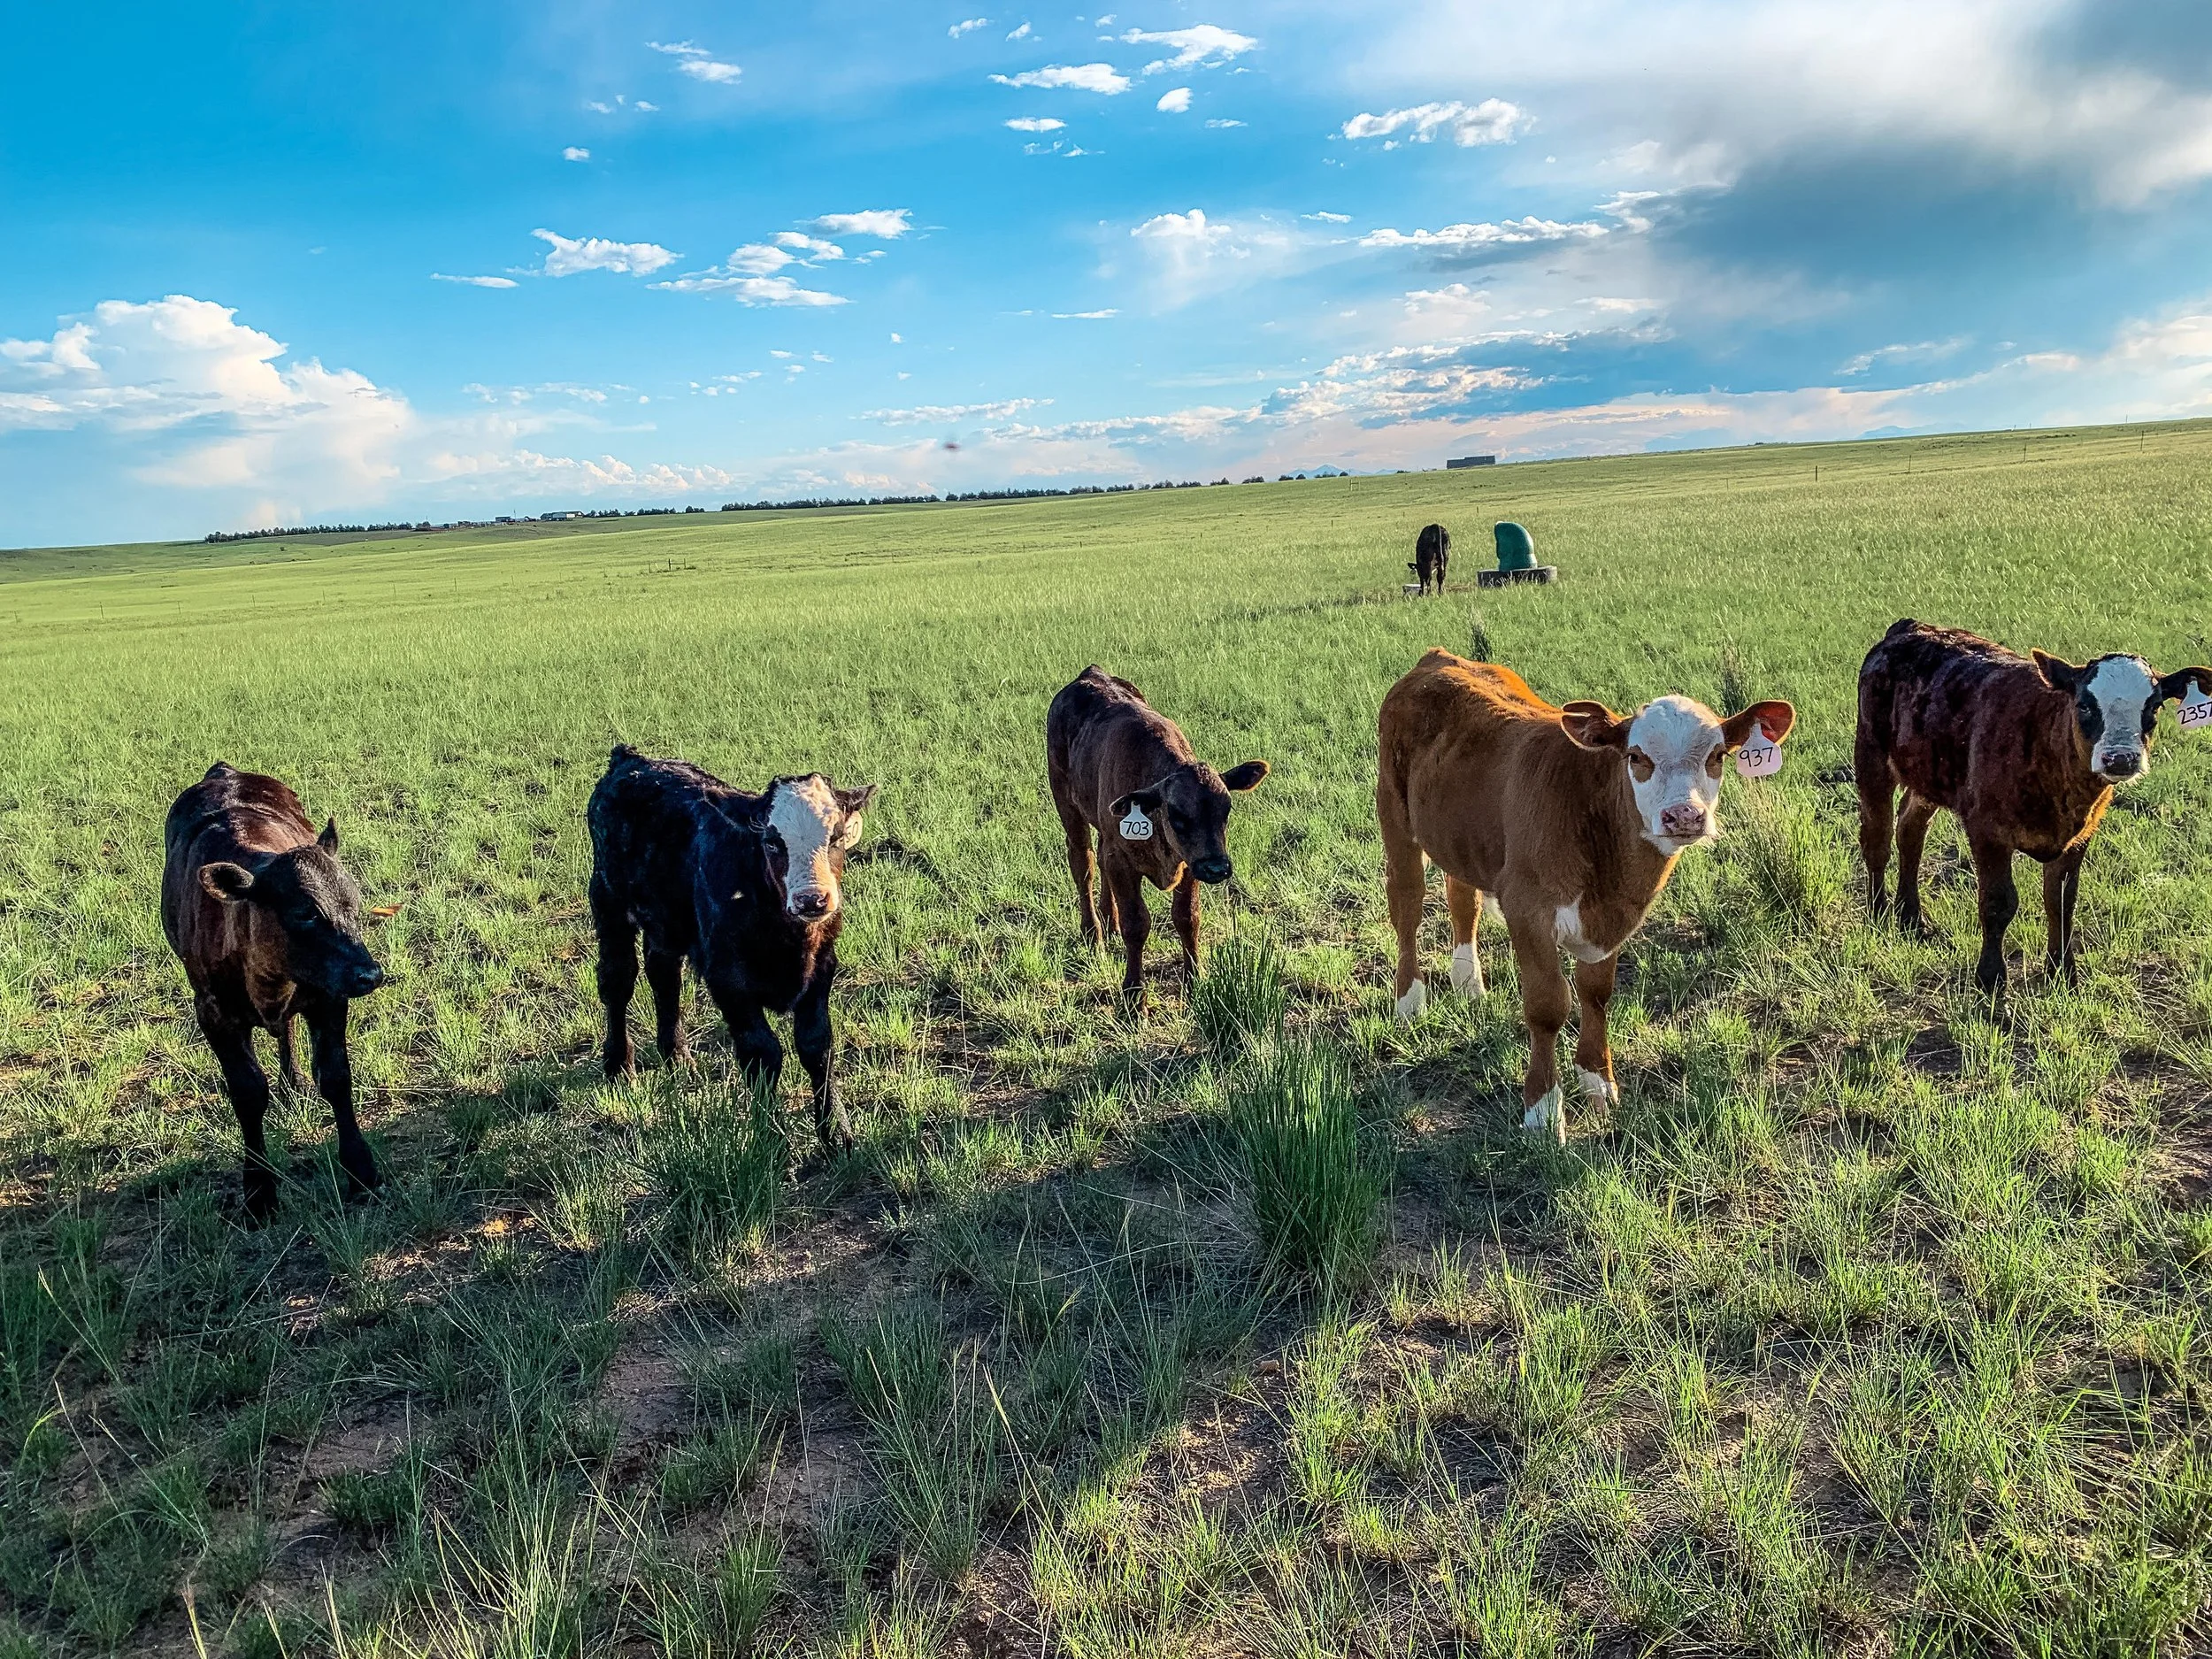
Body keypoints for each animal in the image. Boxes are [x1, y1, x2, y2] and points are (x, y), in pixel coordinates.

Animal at [161, 764, 387, 1219]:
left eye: (354, 904)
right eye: (304, 913)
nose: (369, 974)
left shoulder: (329, 996)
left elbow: (336, 1076)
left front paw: (361, 1173)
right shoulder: (212, 1012)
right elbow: (248, 1093)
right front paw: (259, 1192)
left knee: (287, 1030)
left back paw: (294, 1080)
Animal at [587, 745, 876, 1153]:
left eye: (836, 836)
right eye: (772, 841)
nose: (812, 900)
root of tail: (630, 759)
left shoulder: (822, 968)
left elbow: (816, 1045)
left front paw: (837, 1134)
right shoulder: (727, 979)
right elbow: (763, 1052)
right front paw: (770, 1139)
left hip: (667, 921)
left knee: (664, 975)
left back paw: (678, 1058)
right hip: (608, 899)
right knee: (618, 981)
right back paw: (618, 1066)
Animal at [1046, 667, 1270, 999]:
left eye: (1227, 809)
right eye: (1176, 814)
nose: (1217, 868)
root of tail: (1090, 673)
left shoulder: (1188, 863)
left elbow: (1187, 917)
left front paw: (1194, 978)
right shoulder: (1123, 861)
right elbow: (1136, 924)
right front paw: (1134, 993)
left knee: (1098, 859)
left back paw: (1109, 921)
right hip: (1068, 807)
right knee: (1083, 865)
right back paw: (1093, 933)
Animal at [1377, 650, 1793, 1141]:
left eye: (1717, 756)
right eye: (1636, 756)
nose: (1684, 816)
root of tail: (1439, 657)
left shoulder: (1612, 918)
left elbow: (1596, 993)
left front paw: (1597, 1080)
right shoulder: (1528, 908)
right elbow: (1547, 1006)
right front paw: (1542, 1110)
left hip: (1460, 834)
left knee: (1462, 896)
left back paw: (1469, 984)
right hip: (1394, 815)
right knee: (1407, 905)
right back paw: (1410, 1001)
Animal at [1855, 618, 2212, 995]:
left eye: (2154, 707)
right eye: (2084, 704)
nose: (2121, 758)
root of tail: (1911, 627)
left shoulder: (2079, 836)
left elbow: (2061, 902)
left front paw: (2063, 974)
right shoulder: (1987, 830)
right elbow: (1998, 902)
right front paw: (1991, 979)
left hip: (1927, 775)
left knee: (1910, 830)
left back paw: (1910, 917)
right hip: (1871, 756)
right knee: (1877, 839)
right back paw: (1879, 911)